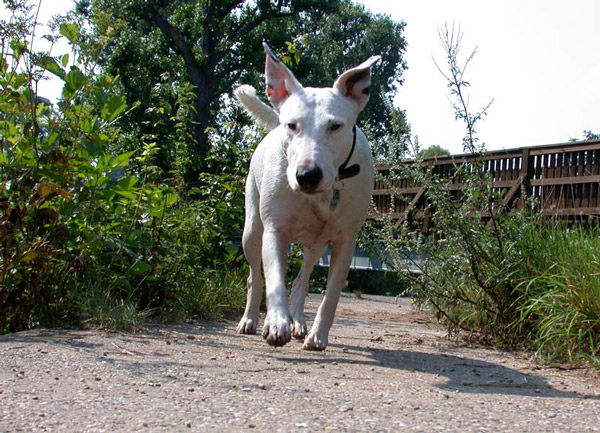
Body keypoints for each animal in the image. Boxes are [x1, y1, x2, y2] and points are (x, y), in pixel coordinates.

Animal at [234, 42, 380, 350]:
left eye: (335, 126)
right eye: (292, 125)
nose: (307, 175)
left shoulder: (345, 242)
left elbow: (331, 295)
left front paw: (317, 335)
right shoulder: (274, 230)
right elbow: (274, 280)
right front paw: (276, 324)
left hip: (316, 245)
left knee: (302, 280)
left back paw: (299, 323)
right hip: (252, 231)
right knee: (255, 277)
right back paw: (250, 319)